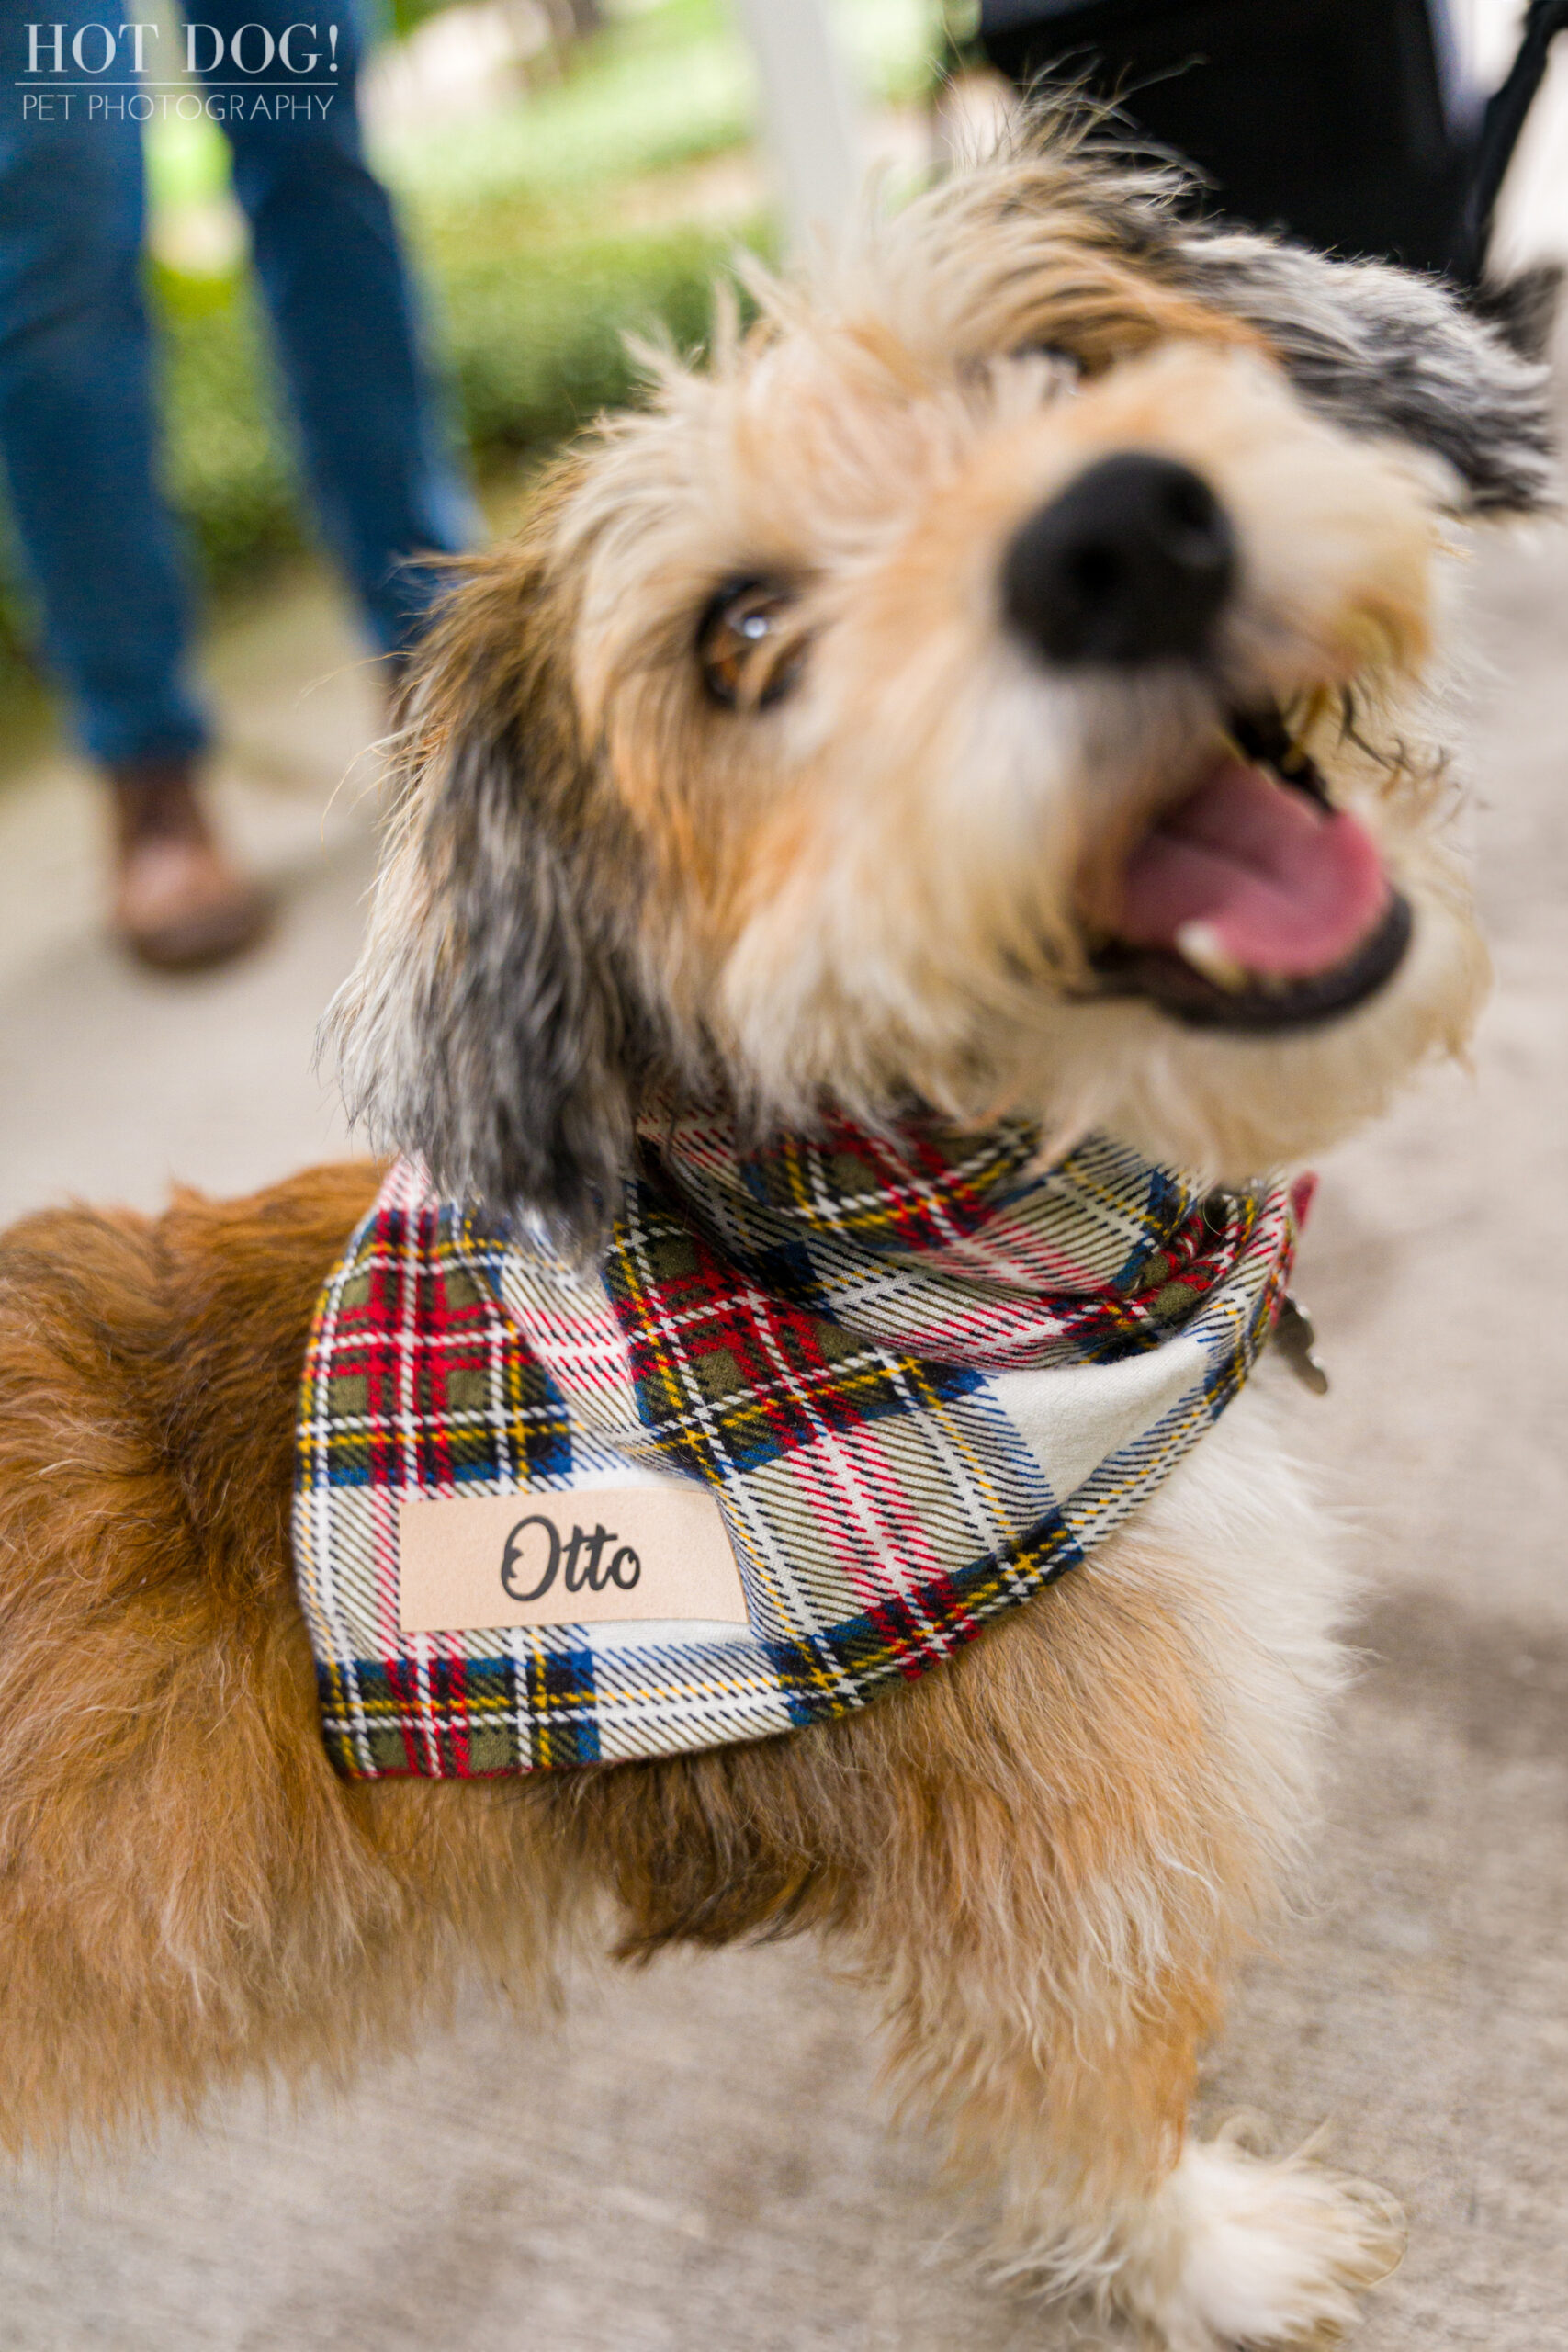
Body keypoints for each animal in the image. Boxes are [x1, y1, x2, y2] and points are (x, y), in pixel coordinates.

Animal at [0, 129, 1551, 2352]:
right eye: (737, 637)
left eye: (1060, 362)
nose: (1117, 538)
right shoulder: (1074, 1881)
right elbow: (1101, 2104)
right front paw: (1216, 2251)